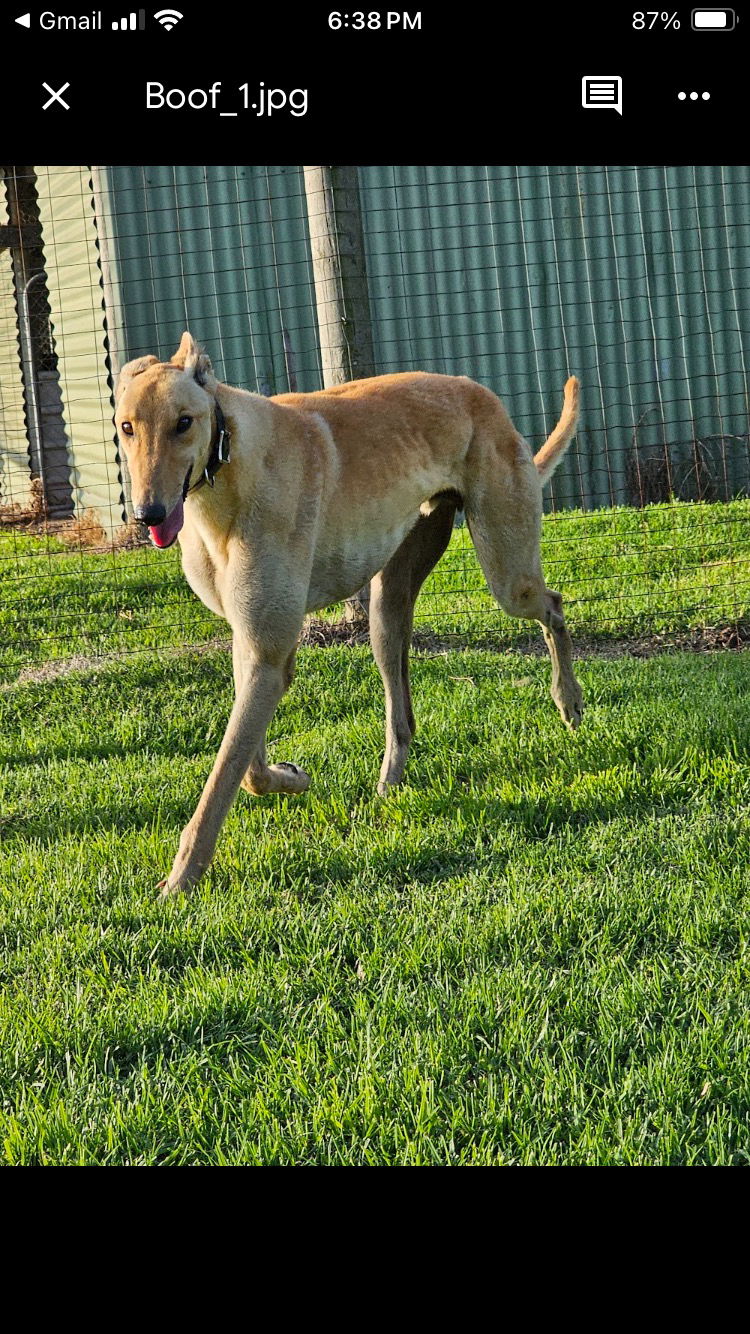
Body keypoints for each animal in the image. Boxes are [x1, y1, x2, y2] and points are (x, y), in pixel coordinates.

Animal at [114, 333, 581, 896]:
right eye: (126, 427)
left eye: (184, 422)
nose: (149, 515)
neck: (230, 473)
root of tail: (480, 393)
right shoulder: (252, 644)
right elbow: (248, 766)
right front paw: (292, 777)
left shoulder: (267, 654)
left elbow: (225, 776)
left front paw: (181, 881)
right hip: (387, 610)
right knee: (402, 716)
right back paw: (388, 787)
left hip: (509, 576)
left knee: (553, 606)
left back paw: (569, 700)